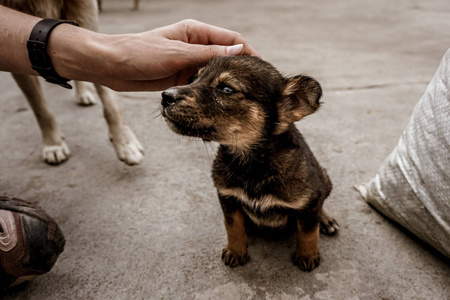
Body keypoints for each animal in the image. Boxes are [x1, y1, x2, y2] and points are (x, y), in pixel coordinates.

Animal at [0, 0, 143, 165]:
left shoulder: (85, 14)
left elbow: (110, 101)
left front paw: (125, 141)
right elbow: (40, 108)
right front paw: (53, 144)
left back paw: (83, 93)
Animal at [161, 56, 338, 272]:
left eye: (226, 89)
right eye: (193, 79)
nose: (165, 96)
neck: (251, 164)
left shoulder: (309, 201)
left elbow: (308, 232)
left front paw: (307, 255)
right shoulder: (227, 197)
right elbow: (233, 227)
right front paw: (236, 251)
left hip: (324, 179)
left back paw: (326, 220)